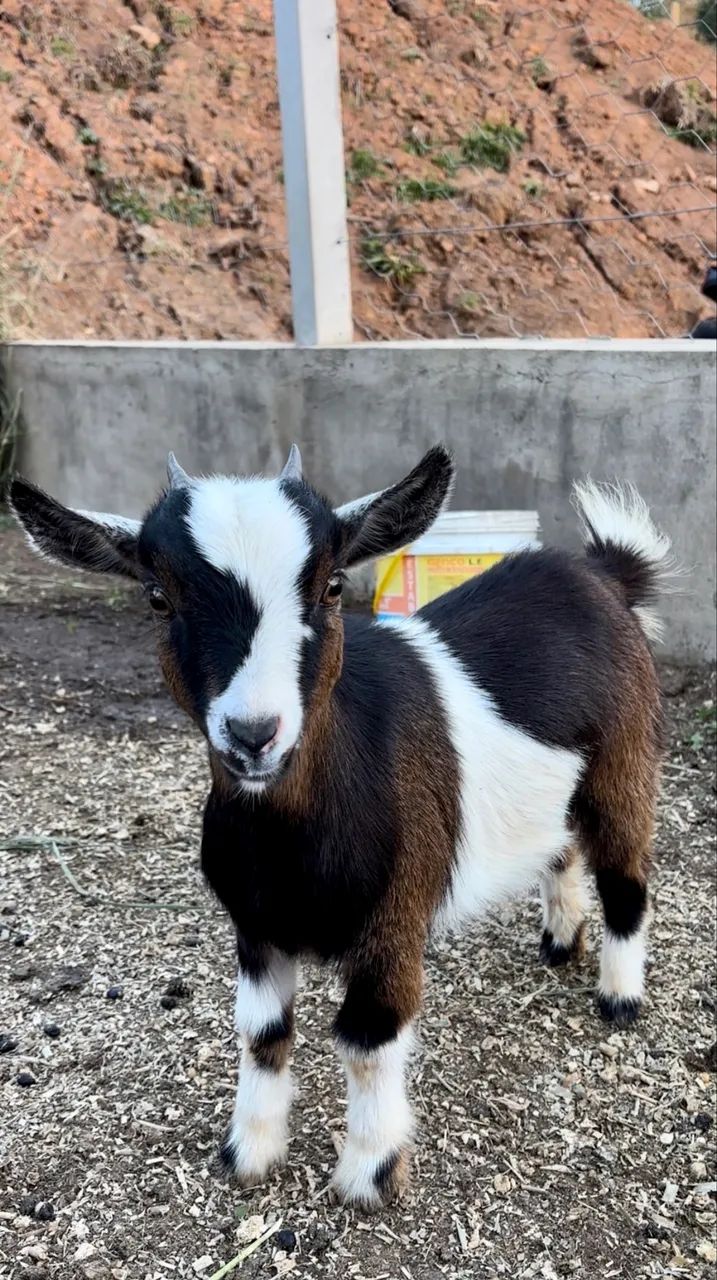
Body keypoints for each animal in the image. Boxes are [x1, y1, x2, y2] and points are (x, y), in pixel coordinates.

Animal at [10, 447, 669, 1209]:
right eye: (156, 596)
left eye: (330, 587)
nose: (253, 735)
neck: (289, 840)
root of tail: (603, 572)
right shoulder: (256, 923)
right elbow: (262, 1032)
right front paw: (250, 1153)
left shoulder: (395, 916)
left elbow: (368, 1038)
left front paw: (369, 1173)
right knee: (558, 846)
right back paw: (559, 940)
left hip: (624, 758)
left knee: (624, 872)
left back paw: (619, 998)